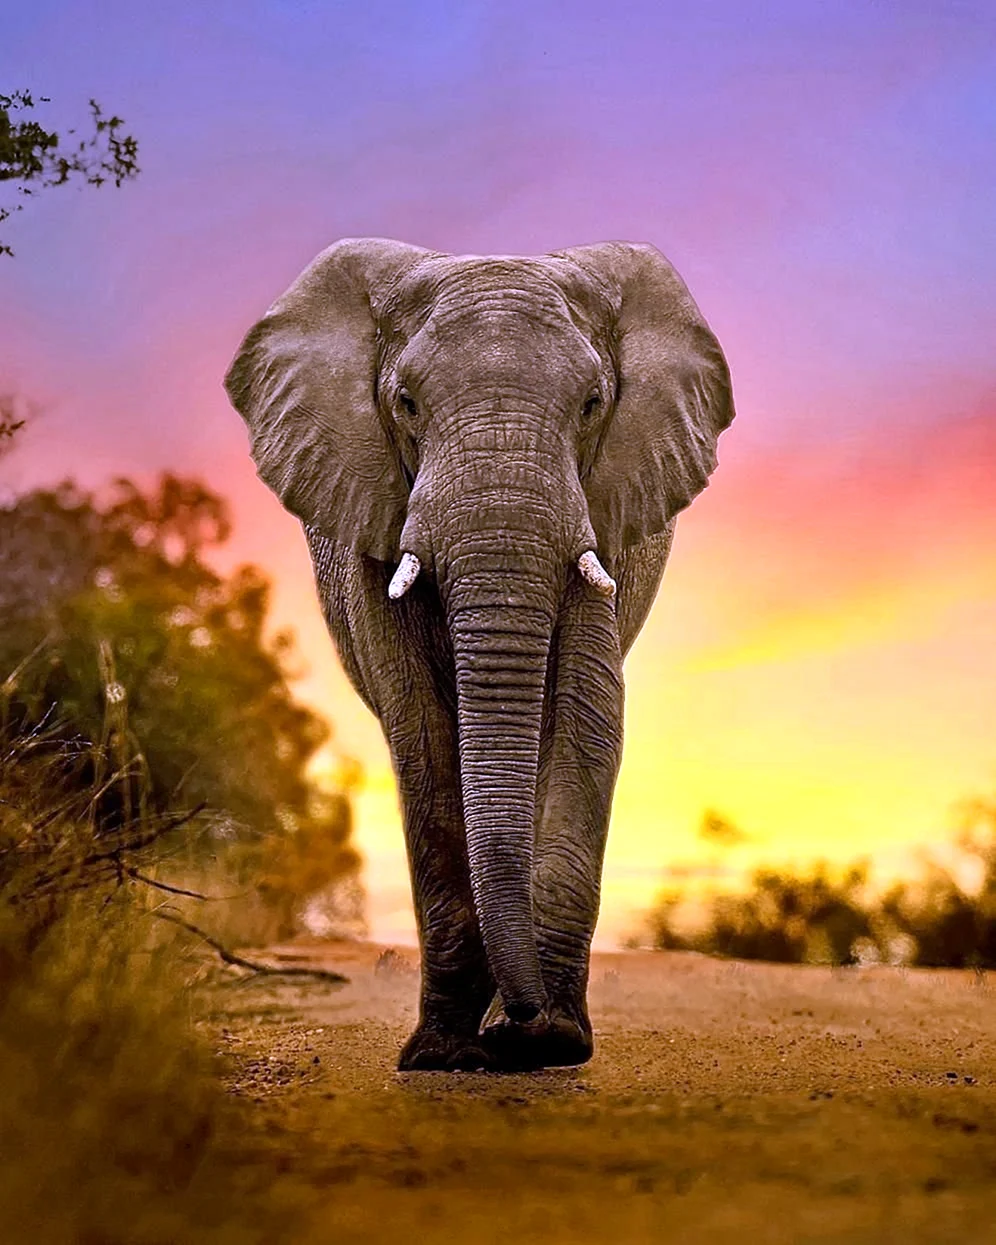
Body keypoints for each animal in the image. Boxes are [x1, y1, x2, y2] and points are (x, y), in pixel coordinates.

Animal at [224, 238, 734, 1072]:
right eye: (405, 404)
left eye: (593, 404)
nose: (521, 1018)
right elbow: (425, 736)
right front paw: (443, 1053)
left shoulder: (604, 513)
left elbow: (588, 713)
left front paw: (548, 1041)